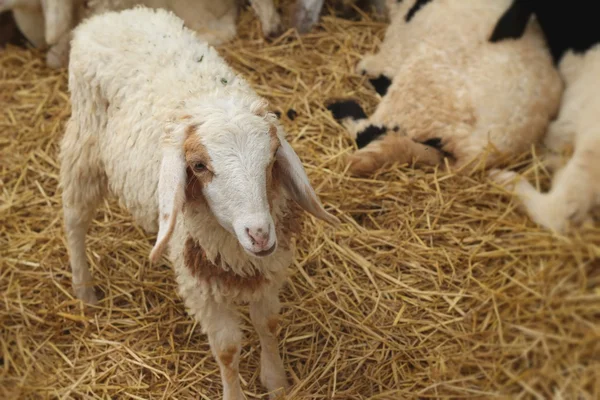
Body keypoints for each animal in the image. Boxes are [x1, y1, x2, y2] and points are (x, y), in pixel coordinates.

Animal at [59, 7, 342, 398]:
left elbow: (268, 324)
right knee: (74, 218)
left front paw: (277, 382)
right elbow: (227, 350)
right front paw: (235, 392)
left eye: (272, 159)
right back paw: (84, 290)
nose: (259, 234)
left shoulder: (267, 269)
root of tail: (111, 16)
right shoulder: (202, 287)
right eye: (198, 166)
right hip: (84, 146)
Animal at [326, 0, 560, 177]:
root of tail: (477, 152)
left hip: (420, 88)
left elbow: (369, 68)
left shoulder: (395, 45)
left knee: (372, 130)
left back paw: (342, 110)